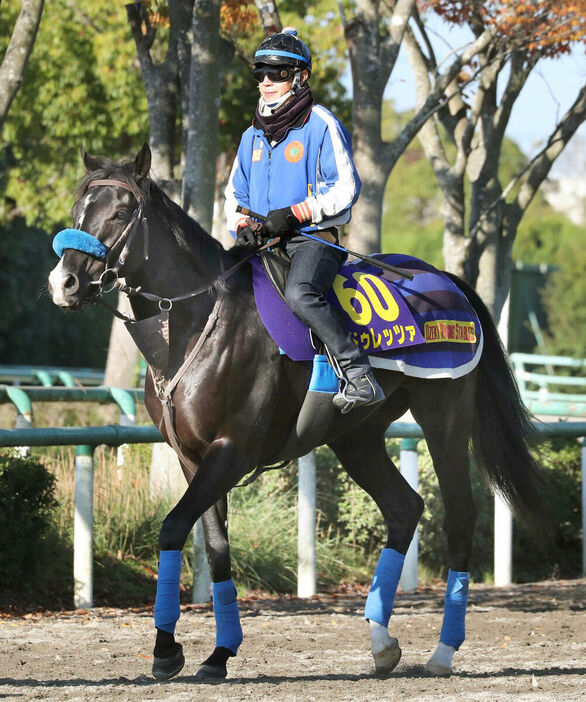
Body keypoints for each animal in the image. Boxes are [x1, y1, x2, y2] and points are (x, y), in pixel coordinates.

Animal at [48, 147, 540, 680]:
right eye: (79, 210)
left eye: (120, 212)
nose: (63, 282)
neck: (197, 324)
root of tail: (448, 281)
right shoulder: (193, 459)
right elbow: (216, 550)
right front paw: (218, 653)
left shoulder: (233, 451)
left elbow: (174, 526)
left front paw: (166, 650)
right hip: (355, 436)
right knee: (404, 507)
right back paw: (381, 641)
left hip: (443, 415)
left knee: (459, 516)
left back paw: (444, 650)